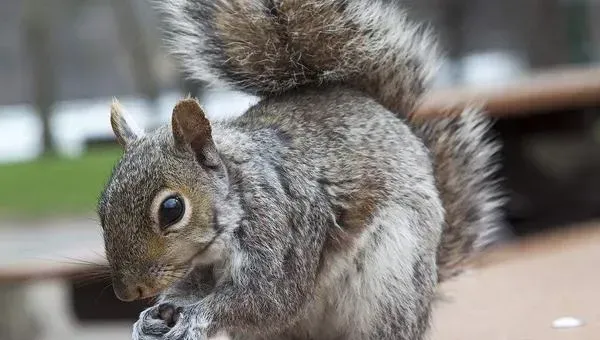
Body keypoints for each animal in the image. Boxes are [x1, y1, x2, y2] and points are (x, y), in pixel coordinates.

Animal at [97, 0, 502, 340]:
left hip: (392, 285)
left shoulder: (284, 229)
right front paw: (154, 314)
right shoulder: (202, 268)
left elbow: (271, 299)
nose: (127, 293)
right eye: (102, 209)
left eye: (172, 209)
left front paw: (195, 317)